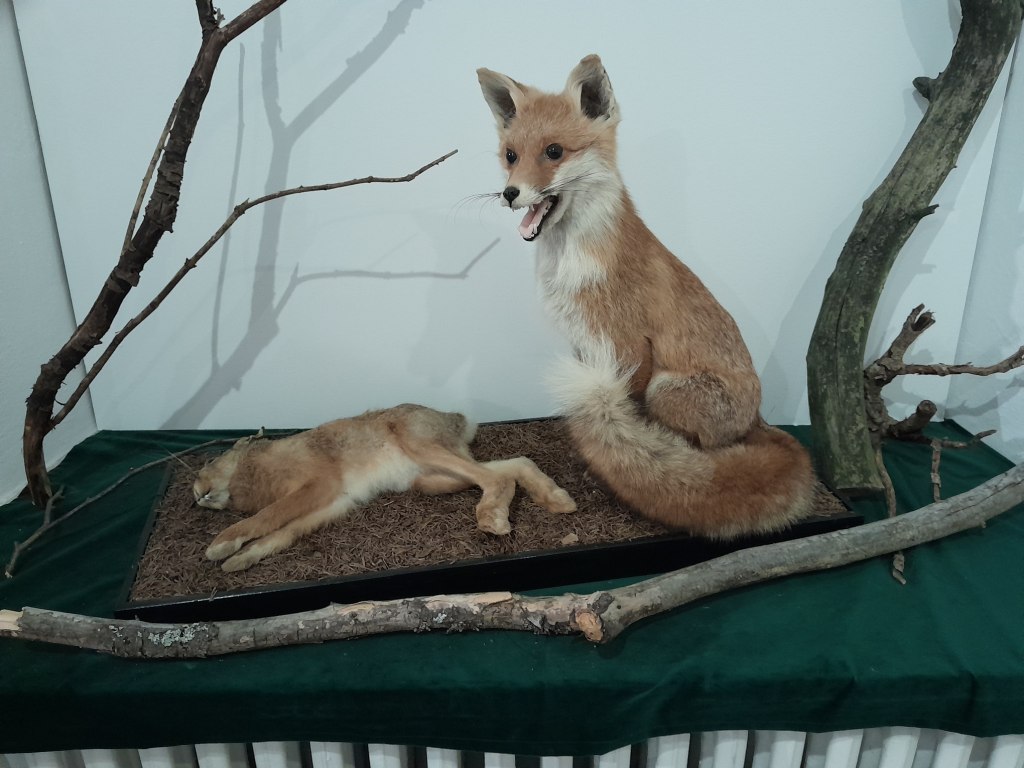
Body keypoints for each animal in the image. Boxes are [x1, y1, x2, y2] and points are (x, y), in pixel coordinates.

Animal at [194, 403, 576, 572]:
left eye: (210, 464)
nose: (197, 494)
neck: (256, 466)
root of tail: (457, 422)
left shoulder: (317, 484)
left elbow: (268, 516)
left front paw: (219, 547)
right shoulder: (330, 503)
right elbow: (280, 533)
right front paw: (237, 562)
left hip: (418, 442)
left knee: (496, 478)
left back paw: (492, 517)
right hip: (431, 476)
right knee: (512, 465)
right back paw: (558, 499)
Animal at [477, 55, 815, 539]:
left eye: (554, 152)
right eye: (510, 156)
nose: (510, 193)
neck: (569, 266)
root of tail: (758, 417)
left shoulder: (628, 346)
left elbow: (626, 420)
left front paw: (623, 469)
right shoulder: (584, 346)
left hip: (666, 389)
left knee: (707, 448)